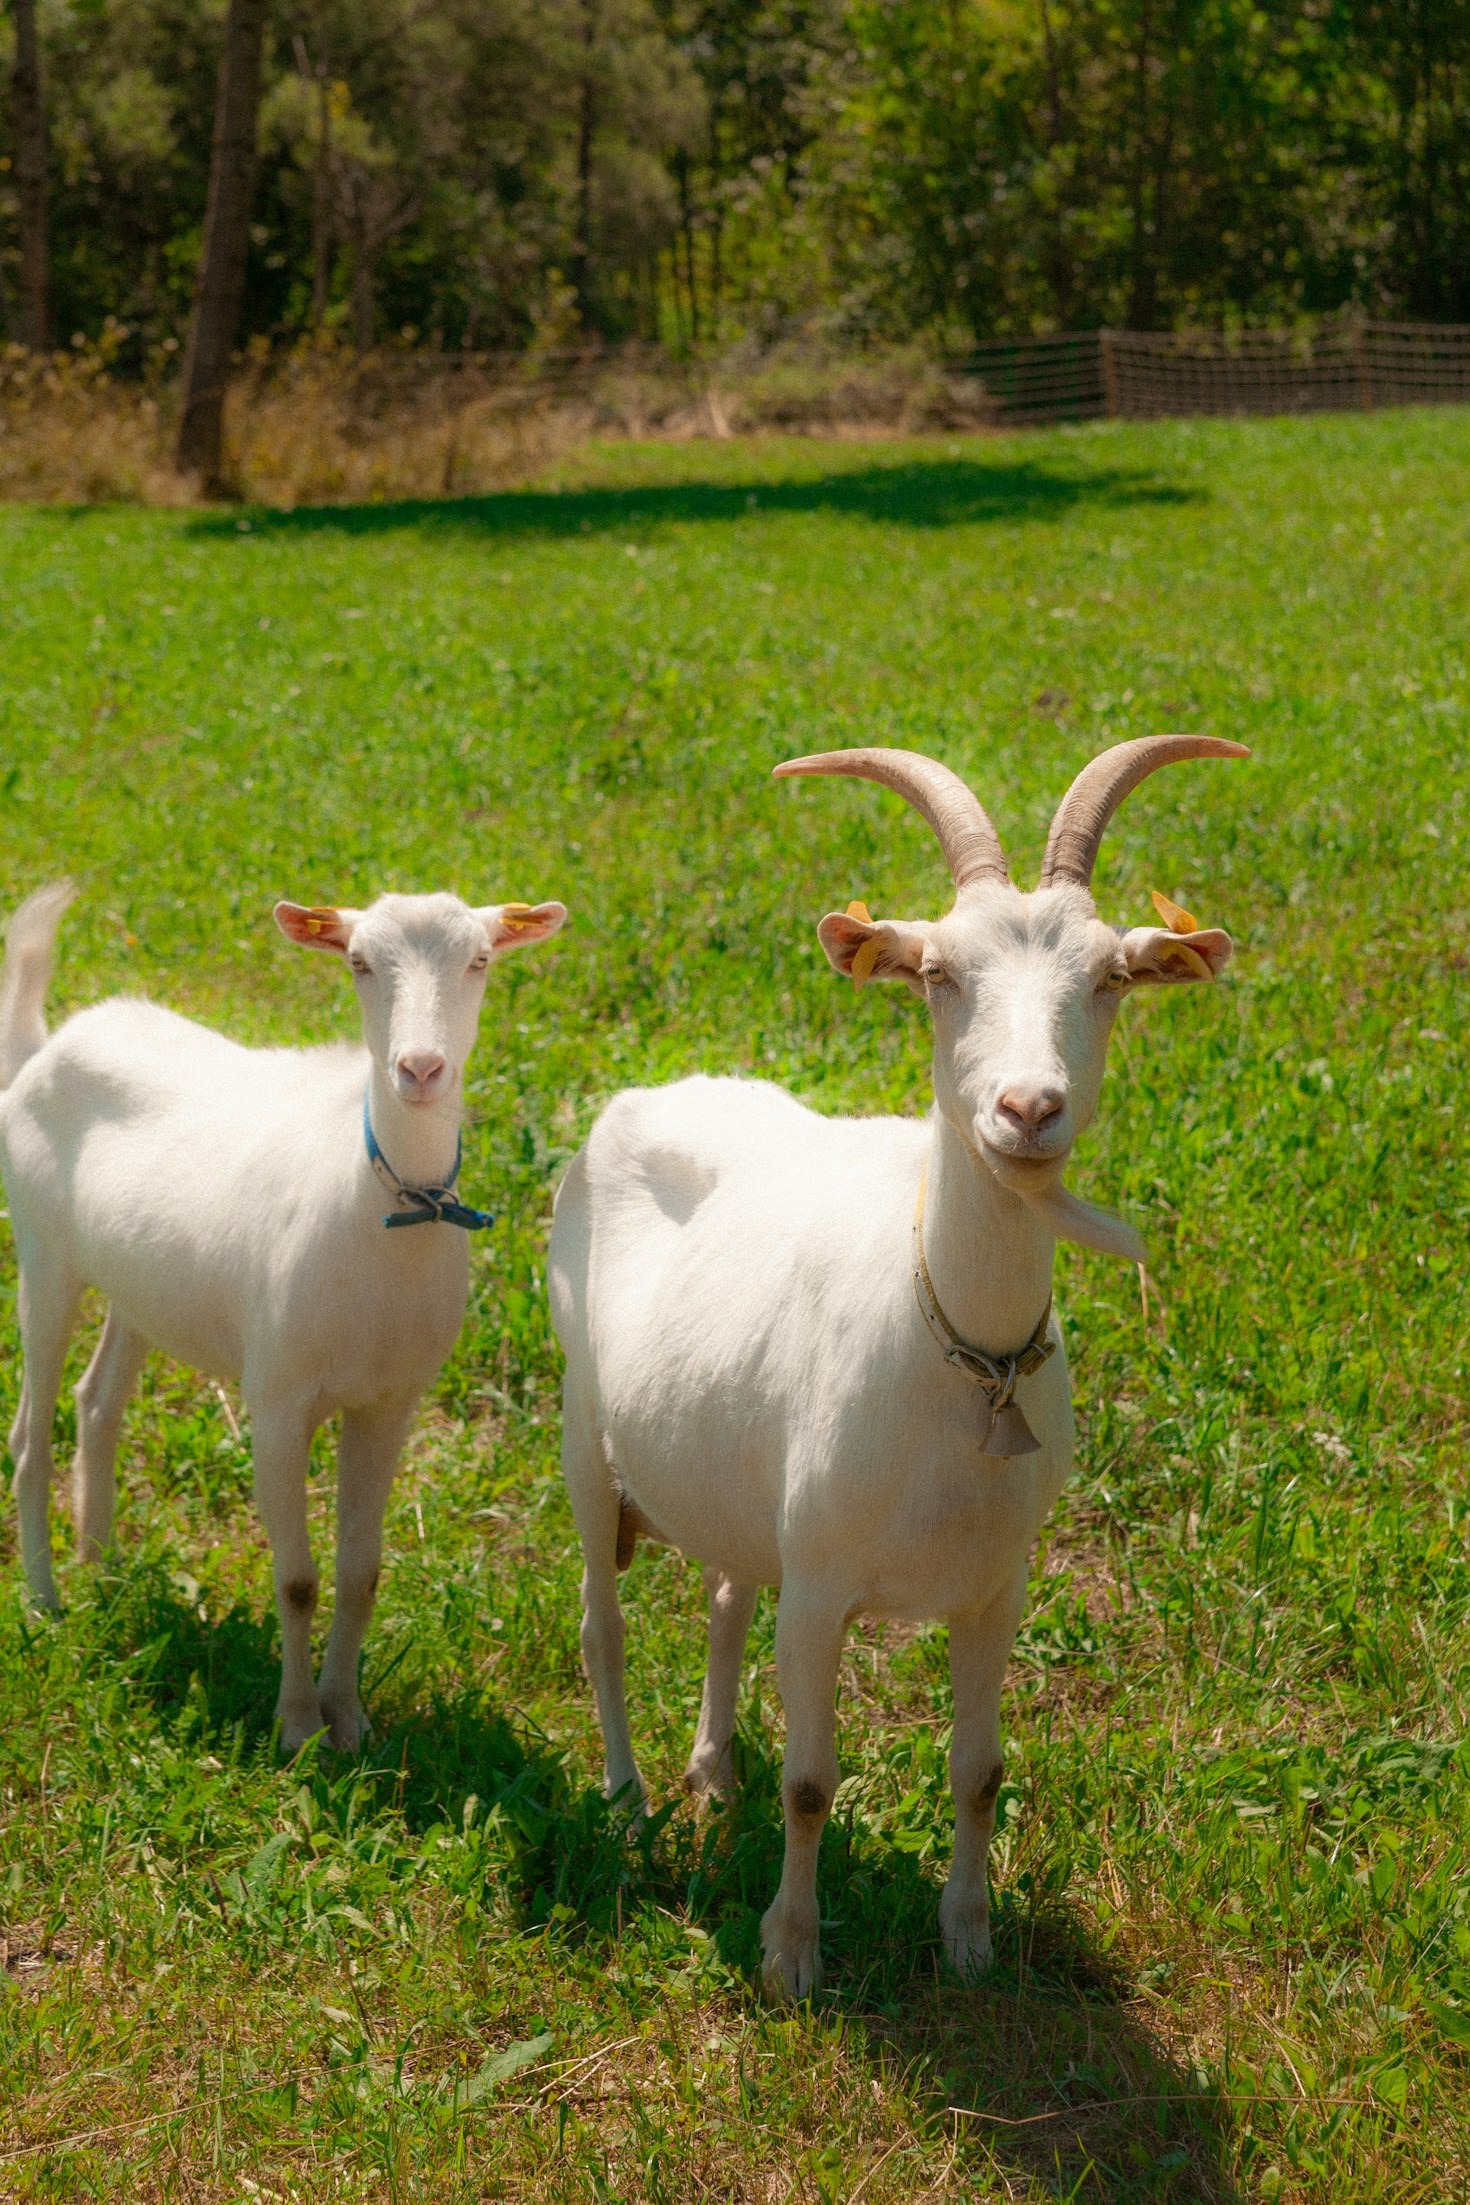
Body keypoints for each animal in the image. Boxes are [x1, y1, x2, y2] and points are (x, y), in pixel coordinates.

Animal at [0, 881, 565, 1750]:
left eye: (478, 960)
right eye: (359, 961)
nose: (420, 1068)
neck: (376, 1208)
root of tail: (46, 1047)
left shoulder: (390, 1401)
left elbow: (361, 1572)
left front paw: (352, 1720)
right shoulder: (276, 1398)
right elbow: (298, 1578)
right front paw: (298, 1729)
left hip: (140, 1282)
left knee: (97, 1402)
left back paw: (105, 1571)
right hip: (43, 1249)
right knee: (31, 1431)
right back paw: (45, 1601)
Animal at [549, 736, 1244, 1996]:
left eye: (1111, 980)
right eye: (937, 975)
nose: (1029, 1108)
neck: (963, 1360)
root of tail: (649, 1094)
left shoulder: (998, 1584)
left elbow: (980, 1772)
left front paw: (967, 1939)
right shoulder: (824, 1586)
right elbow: (811, 1783)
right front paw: (791, 1955)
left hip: (736, 1467)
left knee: (726, 1590)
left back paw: (710, 1770)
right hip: (585, 1425)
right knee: (602, 1625)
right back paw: (628, 1806)